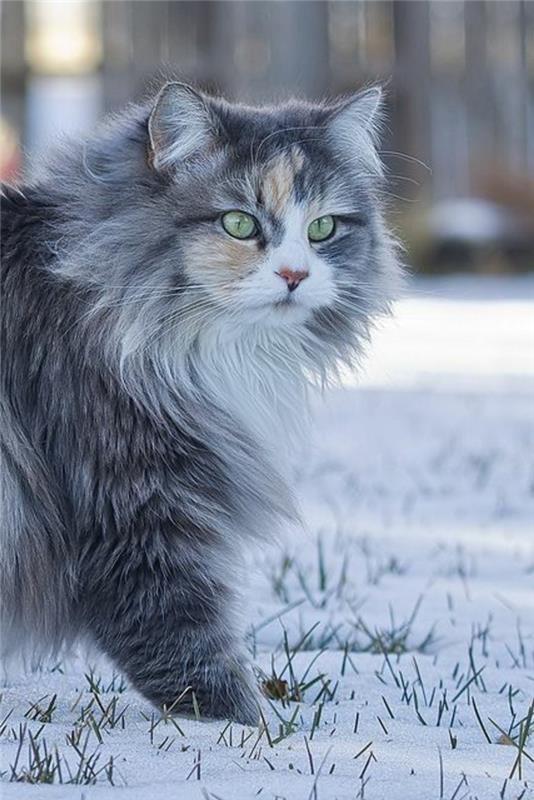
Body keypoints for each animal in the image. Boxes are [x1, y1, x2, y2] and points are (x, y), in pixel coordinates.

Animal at [1, 83, 402, 724]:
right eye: (239, 223)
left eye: (322, 229)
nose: (294, 274)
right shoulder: (136, 505)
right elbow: (190, 647)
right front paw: (251, 731)